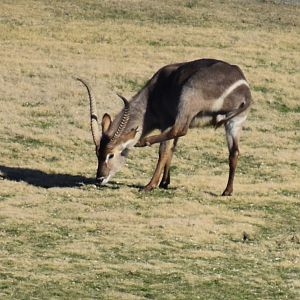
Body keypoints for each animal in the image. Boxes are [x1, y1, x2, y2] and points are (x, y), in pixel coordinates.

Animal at [77, 58, 251, 196]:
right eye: (97, 153)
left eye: (111, 155)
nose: (100, 178)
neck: (154, 90)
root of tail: (242, 86)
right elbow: (172, 149)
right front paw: (165, 182)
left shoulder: (166, 123)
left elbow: (164, 151)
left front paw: (153, 185)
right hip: (234, 123)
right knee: (234, 152)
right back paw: (227, 191)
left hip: (187, 100)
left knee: (180, 130)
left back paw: (144, 149)